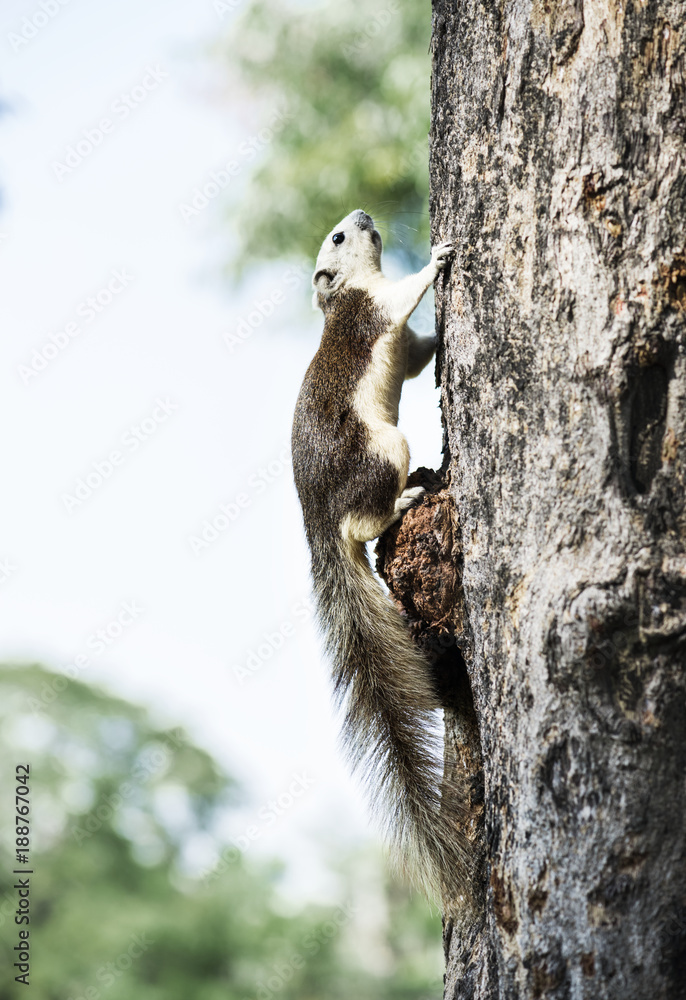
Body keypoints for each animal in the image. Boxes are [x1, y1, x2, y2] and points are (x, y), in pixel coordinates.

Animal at [290, 211, 472, 900]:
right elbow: (406, 295)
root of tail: (319, 523)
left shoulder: (396, 334)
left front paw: (443, 336)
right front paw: (439, 256)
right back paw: (408, 497)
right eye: (337, 239)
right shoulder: (376, 309)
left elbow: (417, 356)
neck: (342, 296)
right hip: (382, 449)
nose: (363, 216)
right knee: (370, 517)